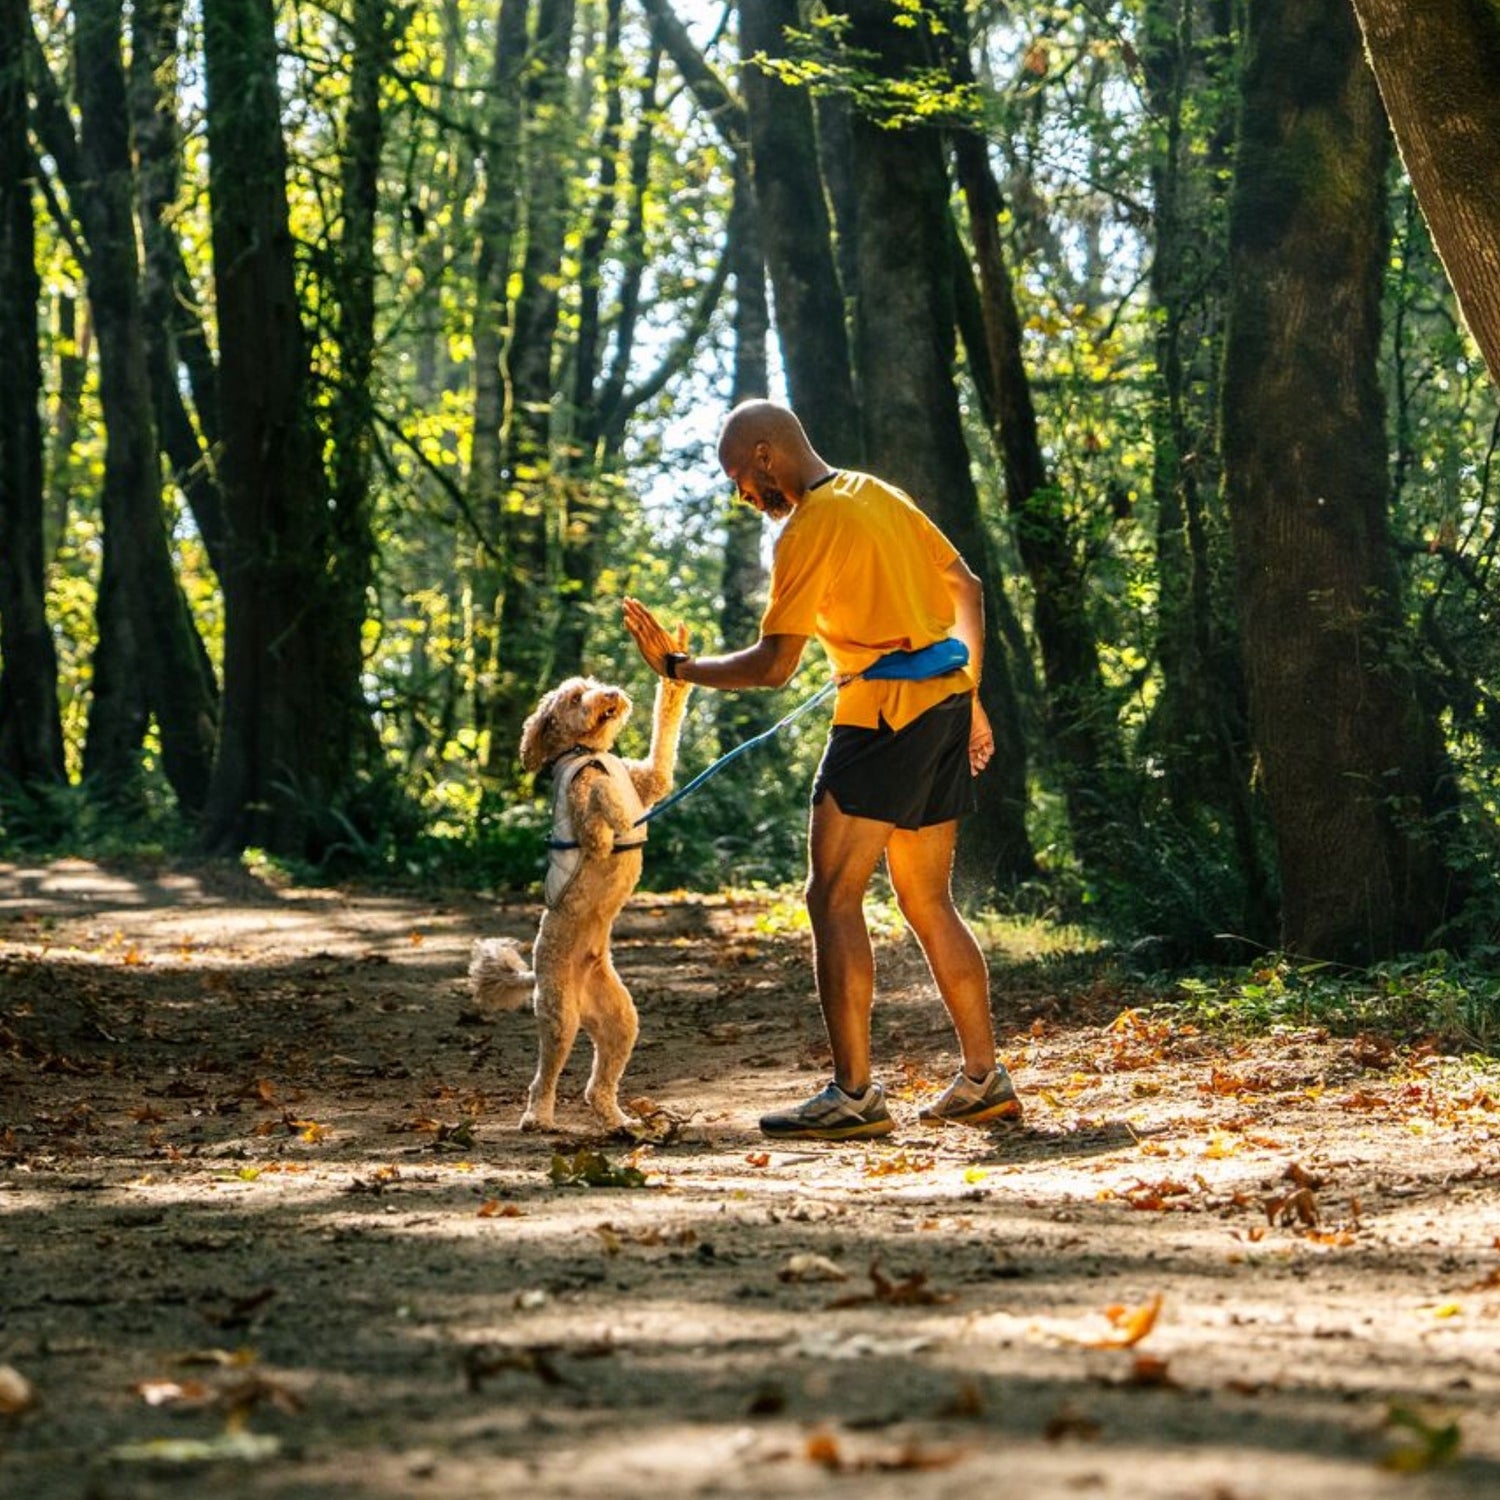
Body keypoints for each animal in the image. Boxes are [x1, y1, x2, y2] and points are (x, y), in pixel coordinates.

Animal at [468, 663, 690, 1128]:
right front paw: (619, 822)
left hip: (620, 1020)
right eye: (574, 697)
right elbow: (599, 802)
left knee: (597, 1085)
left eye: (594, 685)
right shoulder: (585, 801)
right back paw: (537, 1117)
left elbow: (663, 738)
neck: (586, 752)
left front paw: (674, 681)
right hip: (559, 1016)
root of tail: (535, 975)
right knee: (544, 1076)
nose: (609, 694)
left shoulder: (647, 778)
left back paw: (619, 1123)